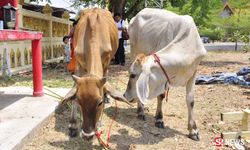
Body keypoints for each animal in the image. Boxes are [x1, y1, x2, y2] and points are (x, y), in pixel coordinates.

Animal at [60, 7, 127, 141]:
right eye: (79, 101)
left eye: (99, 102)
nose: (87, 135)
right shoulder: (79, 63)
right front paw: (73, 125)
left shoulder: (106, 63)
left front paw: (99, 122)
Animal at [123, 8, 207, 141]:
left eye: (133, 75)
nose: (125, 95)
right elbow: (161, 96)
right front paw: (159, 119)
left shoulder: (193, 72)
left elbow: (190, 100)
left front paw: (193, 130)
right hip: (133, 49)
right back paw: (141, 110)